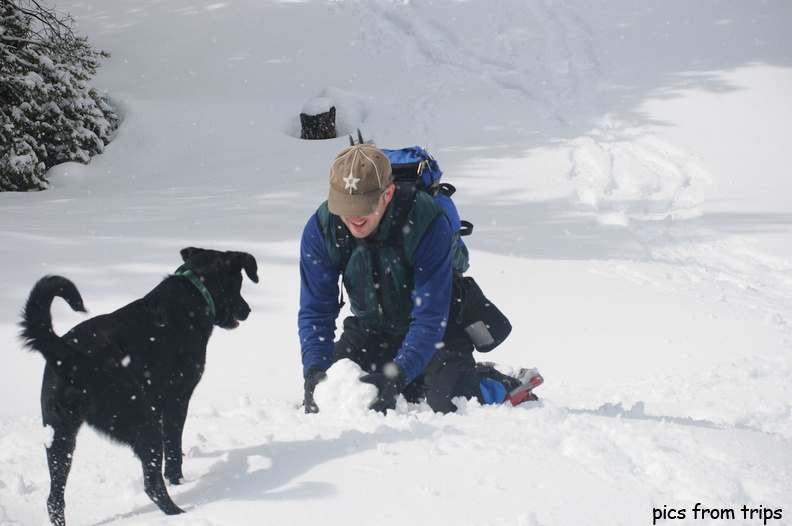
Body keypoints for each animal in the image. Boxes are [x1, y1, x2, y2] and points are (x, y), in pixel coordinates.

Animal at [18, 249, 258, 526]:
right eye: (239, 283)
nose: (248, 309)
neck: (195, 292)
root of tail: (69, 356)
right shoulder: (177, 399)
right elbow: (174, 450)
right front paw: (178, 482)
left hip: (59, 433)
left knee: (54, 498)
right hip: (140, 420)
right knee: (152, 485)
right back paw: (181, 513)